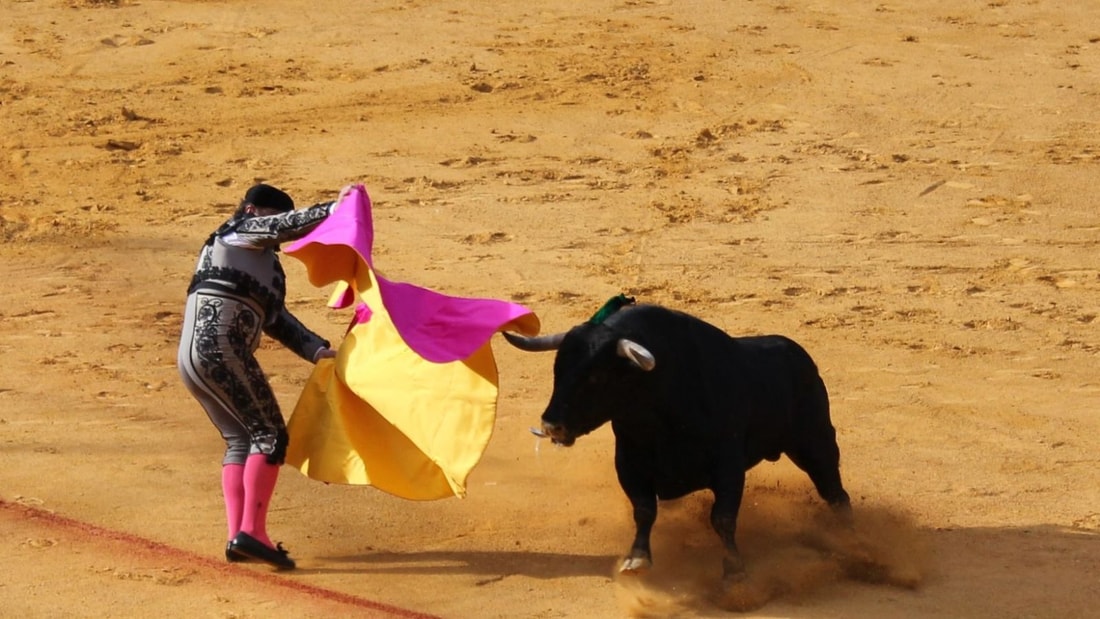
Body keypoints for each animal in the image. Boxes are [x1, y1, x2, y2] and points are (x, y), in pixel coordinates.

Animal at [503, 305, 853, 584]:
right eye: (557, 370)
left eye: (596, 377)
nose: (551, 425)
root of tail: (800, 357)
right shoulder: (630, 462)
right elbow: (645, 510)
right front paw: (637, 558)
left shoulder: (728, 465)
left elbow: (723, 518)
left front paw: (734, 570)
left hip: (816, 442)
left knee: (835, 492)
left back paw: (849, 536)